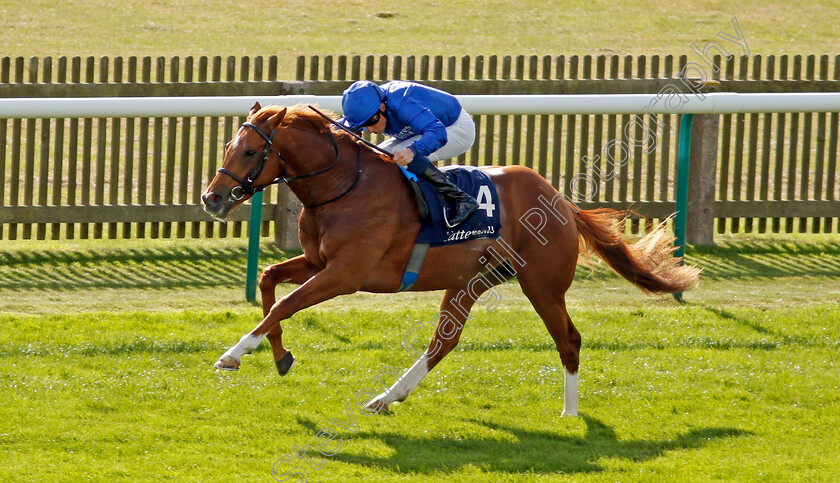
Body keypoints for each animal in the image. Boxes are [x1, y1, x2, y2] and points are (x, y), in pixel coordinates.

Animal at [200, 103, 700, 416]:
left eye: (250, 150)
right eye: (227, 148)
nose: (212, 198)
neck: (346, 184)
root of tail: (561, 200)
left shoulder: (346, 273)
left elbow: (286, 303)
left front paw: (232, 354)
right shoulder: (318, 262)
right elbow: (269, 281)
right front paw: (280, 355)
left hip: (541, 284)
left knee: (569, 340)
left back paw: (569, 412)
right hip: (468, 281)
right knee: (444, 342)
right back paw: (386, 398)